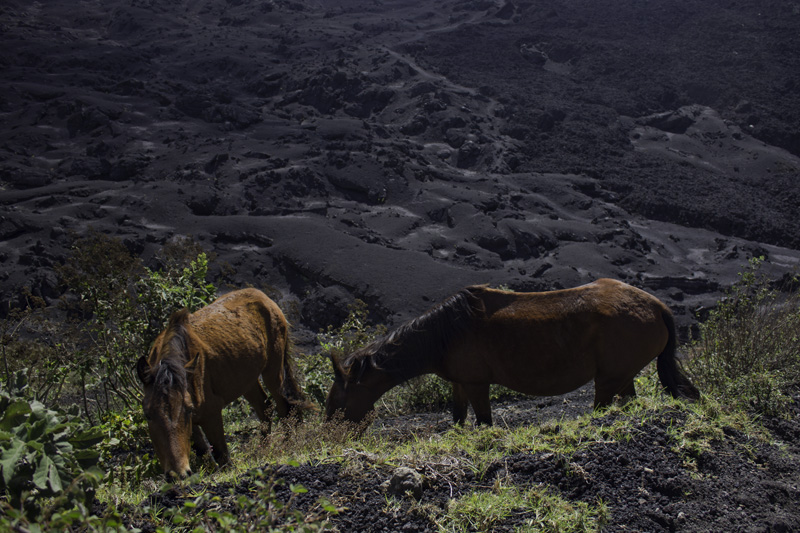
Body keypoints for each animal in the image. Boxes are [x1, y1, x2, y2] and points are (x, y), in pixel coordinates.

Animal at [134, 288, 312, 476]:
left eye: (187, 410)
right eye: (148, 415)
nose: (178, 473)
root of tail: (262, 296)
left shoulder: (211, 412)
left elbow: (221, 454)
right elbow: (202, 451)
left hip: (273, 369)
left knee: (283, 405)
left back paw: (288, 443)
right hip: (246, 381)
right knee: (264, 407)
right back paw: (263, 448)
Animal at [324, 278, 700, 424]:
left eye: (338, 401)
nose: (331, 433)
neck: (446, 332)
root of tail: (657, 306)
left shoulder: (477, 384)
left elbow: (484, 422)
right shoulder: (460, 383)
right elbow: (458, 418)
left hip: (608, 380)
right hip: (622, 376)